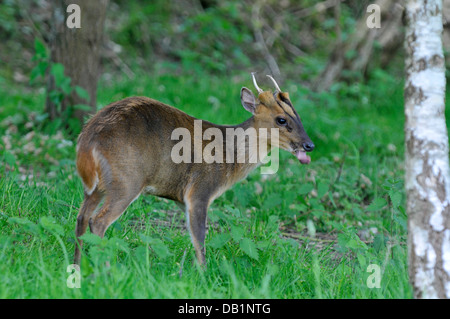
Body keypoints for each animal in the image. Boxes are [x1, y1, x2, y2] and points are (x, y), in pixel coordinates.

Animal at [73, 74, 312, 264]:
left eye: (299, 116)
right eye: (281, 120)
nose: (309, 145)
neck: (229, 154)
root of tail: (88, 138)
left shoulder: (181, 198)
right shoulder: (200, 190)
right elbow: (200, 238)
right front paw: (204, 274)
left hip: (97, 185)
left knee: (82, 217)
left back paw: (78, 266)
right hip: (127, 180)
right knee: (98, 221)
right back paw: (105, 268)